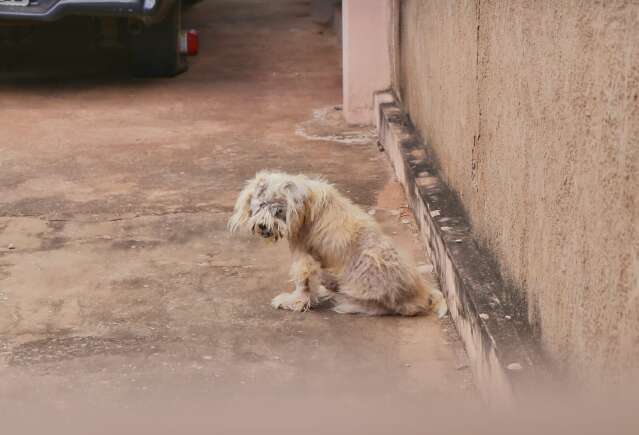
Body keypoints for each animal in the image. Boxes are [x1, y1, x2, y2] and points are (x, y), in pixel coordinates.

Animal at [228, 170, 448, 316]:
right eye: (260, 206)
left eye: (277, 210)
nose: (262, 226)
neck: (304, 209)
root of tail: (420, 293)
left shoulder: (304, 254)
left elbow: (303, 281)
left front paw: (295, 302)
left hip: (368, 267)